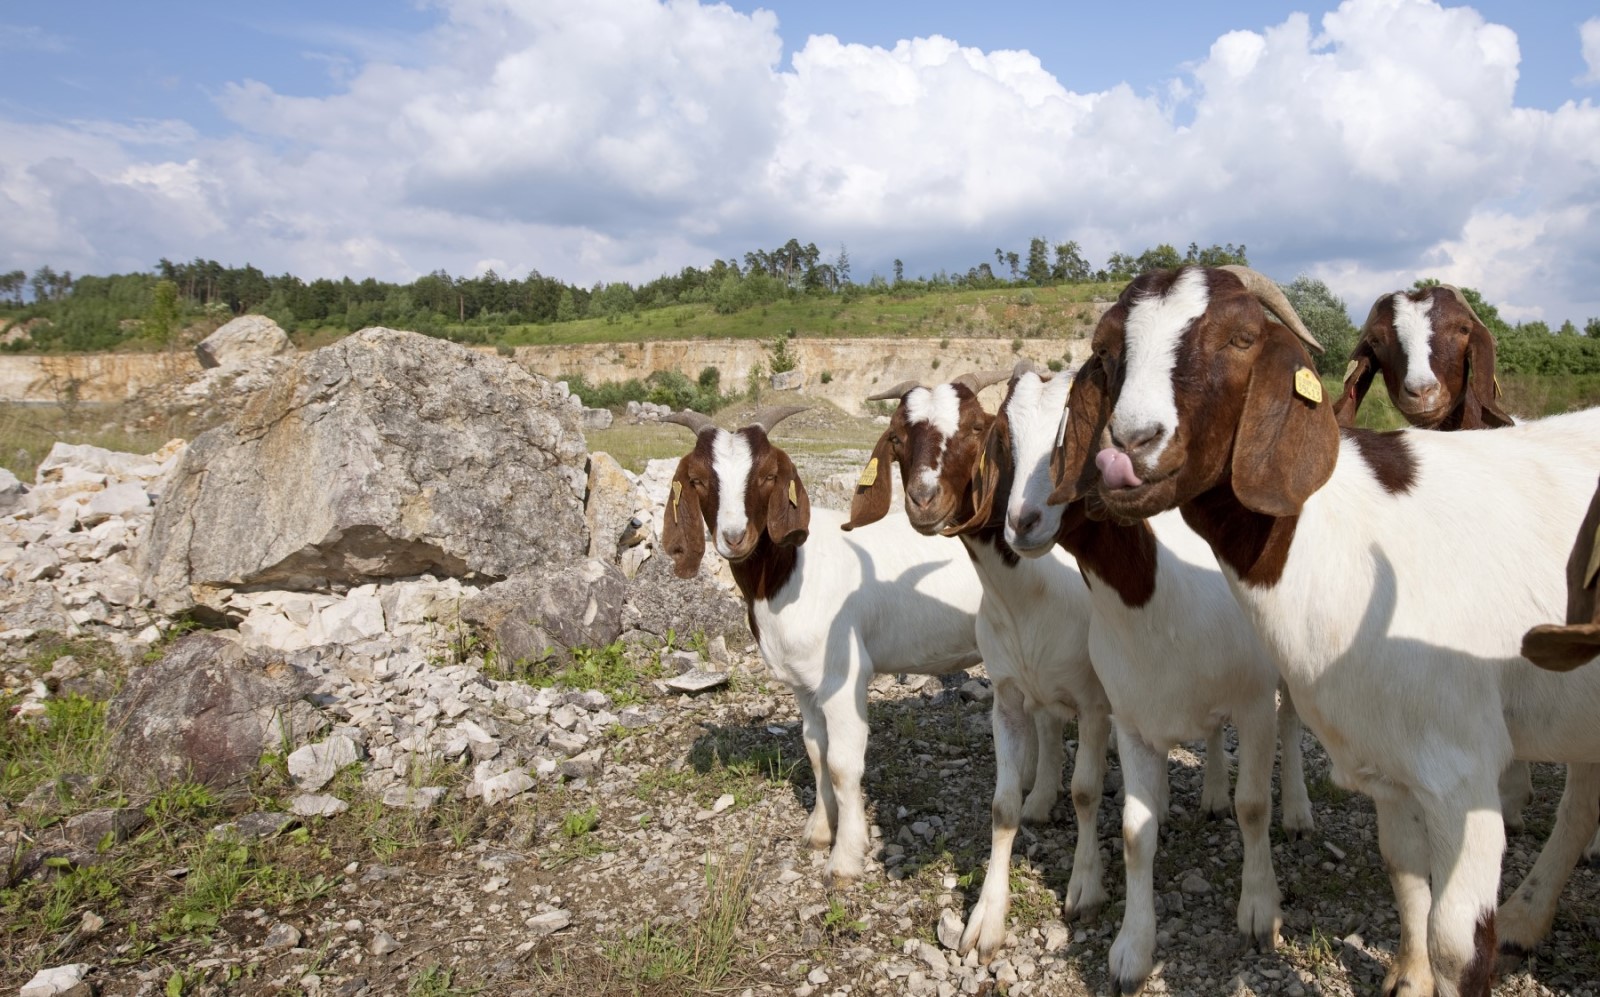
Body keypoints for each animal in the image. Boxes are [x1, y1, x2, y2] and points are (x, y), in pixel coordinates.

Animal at [652, 406, 985, 889]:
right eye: (696, 479)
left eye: (769, 475)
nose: (734, 537)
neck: (791, 571)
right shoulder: (803, 682)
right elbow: (815, 751)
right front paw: (819, 830)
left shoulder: (843, 679)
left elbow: (844, 764)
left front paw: (845, 857)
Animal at [851, 372, 1113, 960]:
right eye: (897, 438)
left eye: (975, 428)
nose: (924, 500)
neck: (1031, 593)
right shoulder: (1008, 697)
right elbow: (1002, 806)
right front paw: (985, 921)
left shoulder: (1095, 701)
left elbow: (1087, 791)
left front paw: (1085, 887)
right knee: (1048, 727)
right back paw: (1042, 796)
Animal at [1056, 265, 1600, 997]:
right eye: (1108, 349)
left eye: (1242, 337)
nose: (1130, 445)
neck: (1349, 538)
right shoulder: (1388, 760)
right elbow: (1404, 871)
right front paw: (1407, 976)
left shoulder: (1465, 773)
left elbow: (1458, 945)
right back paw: (1528, 918)